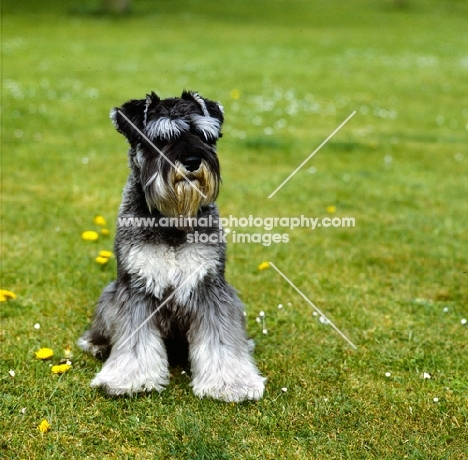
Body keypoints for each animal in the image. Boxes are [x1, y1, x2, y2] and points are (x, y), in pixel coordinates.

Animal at [78, 91, 266, 400]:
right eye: (161, 138)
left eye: (203, 135)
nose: (192, 161)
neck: (173, 219)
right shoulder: (136, 287)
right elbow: (134, 341)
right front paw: (129, 379)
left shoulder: (210, 286)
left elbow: (220, 340)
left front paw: (230, 383)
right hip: (109, 296)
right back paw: (96, 344)